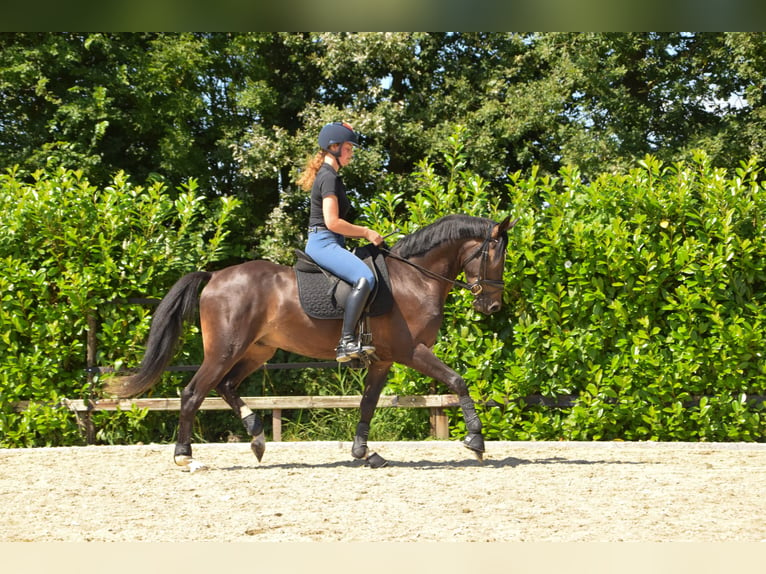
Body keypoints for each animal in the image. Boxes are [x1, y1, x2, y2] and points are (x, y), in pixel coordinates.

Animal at [106, 214, 516, 470]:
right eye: (496, 256)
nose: (493, 305)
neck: (413, 279)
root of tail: (215, 276)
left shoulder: (383, 359)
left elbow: (367, 404)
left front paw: (364, 453)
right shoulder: (410, 351)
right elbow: (457, 380)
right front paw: (476, 441)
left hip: (258, 349)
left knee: (226, 386)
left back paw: (257, 437)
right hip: (226, 349)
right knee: (193, 392)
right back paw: (185, 456)